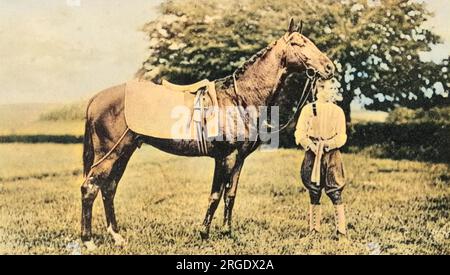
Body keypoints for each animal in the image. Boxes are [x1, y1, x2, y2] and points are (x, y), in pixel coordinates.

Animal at [80, 19, 334, 250]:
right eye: (298, 43)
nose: (329, 67)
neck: (239, 99)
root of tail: (96, 98)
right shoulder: (225, 158)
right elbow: (215, 196)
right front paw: (204, 234)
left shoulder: (239, 159)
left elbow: (230, 195)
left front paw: (228, 233)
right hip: (109, 155)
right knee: (90, 188)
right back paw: (88, 241)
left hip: (124, 153)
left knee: (109, 188)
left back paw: (117, 237)